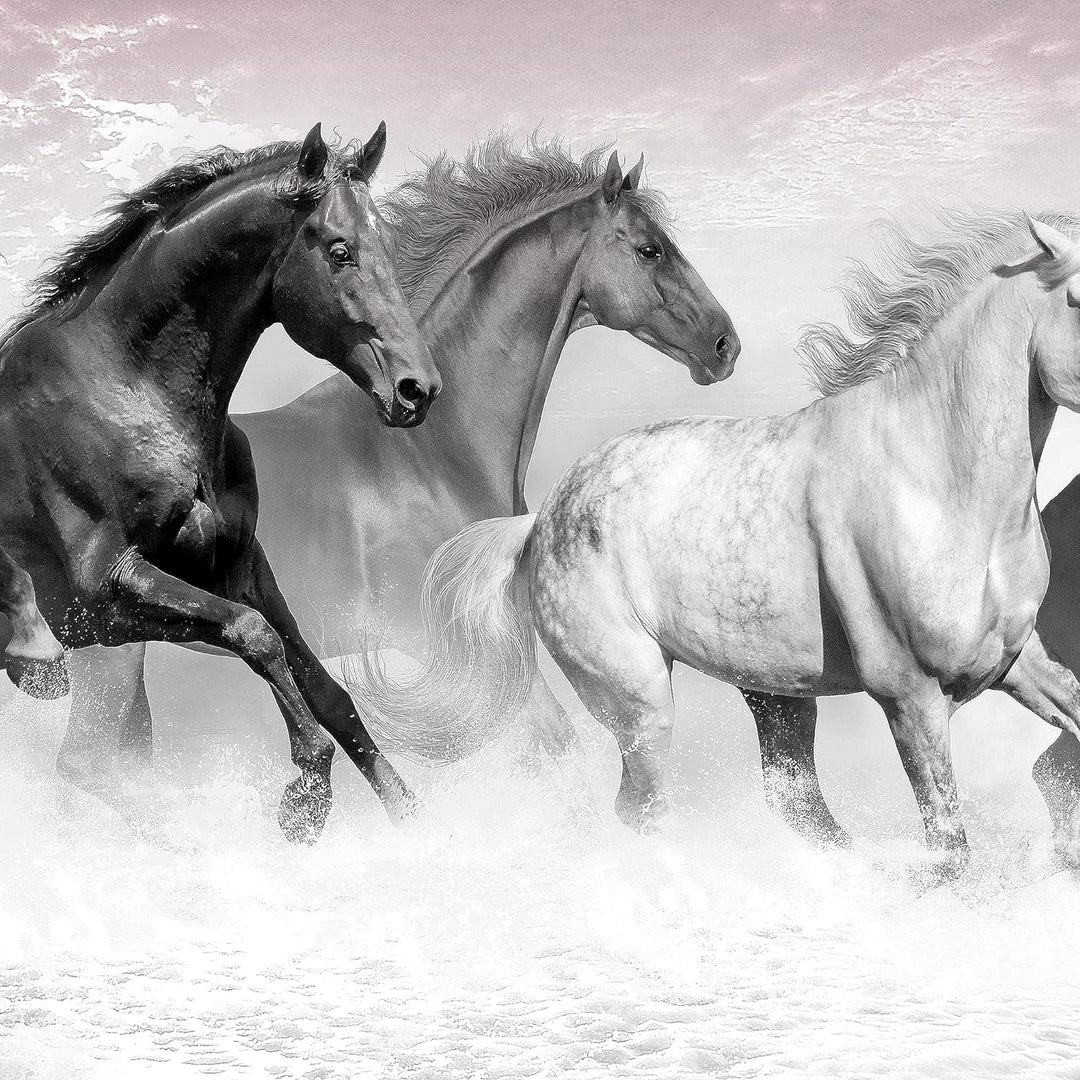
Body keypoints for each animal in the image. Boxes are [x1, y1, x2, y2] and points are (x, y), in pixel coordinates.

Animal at [0, 122, 441, 841]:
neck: (126, 391)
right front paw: (306, 794)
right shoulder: (101, 600)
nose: (417, 389)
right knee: (89, 767)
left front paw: (408, 814)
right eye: (340, 251)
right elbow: (253, 636)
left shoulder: (235, 565)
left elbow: (323, 686)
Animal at [59, 136, 739, 803]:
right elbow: (556, 750)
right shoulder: (470, 660)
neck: (431, 454)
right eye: (650, 249)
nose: (725, 344)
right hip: (108, 660)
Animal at [359, 212, 1080, 878]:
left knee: (795, 806)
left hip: (778, 695)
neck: (934, 475)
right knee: (644, 813)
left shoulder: (1015, 663)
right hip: (642, 703)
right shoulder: (910, 697)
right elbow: (951, 850)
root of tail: (539, 524)